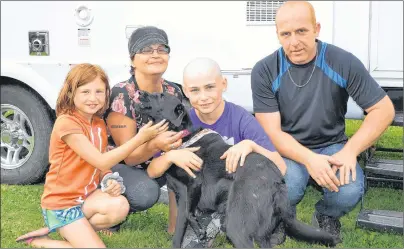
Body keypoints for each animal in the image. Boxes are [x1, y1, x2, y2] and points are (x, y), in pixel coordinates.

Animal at [136, 91, 340, 247]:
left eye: (161, 95)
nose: (140, 92)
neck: (183, 139)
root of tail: (276, 180)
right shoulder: (180, 195)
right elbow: (179, 230)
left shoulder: (194, 184)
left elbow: (188, 213)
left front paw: (200, 230)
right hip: (261, 231)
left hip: (237, 225)